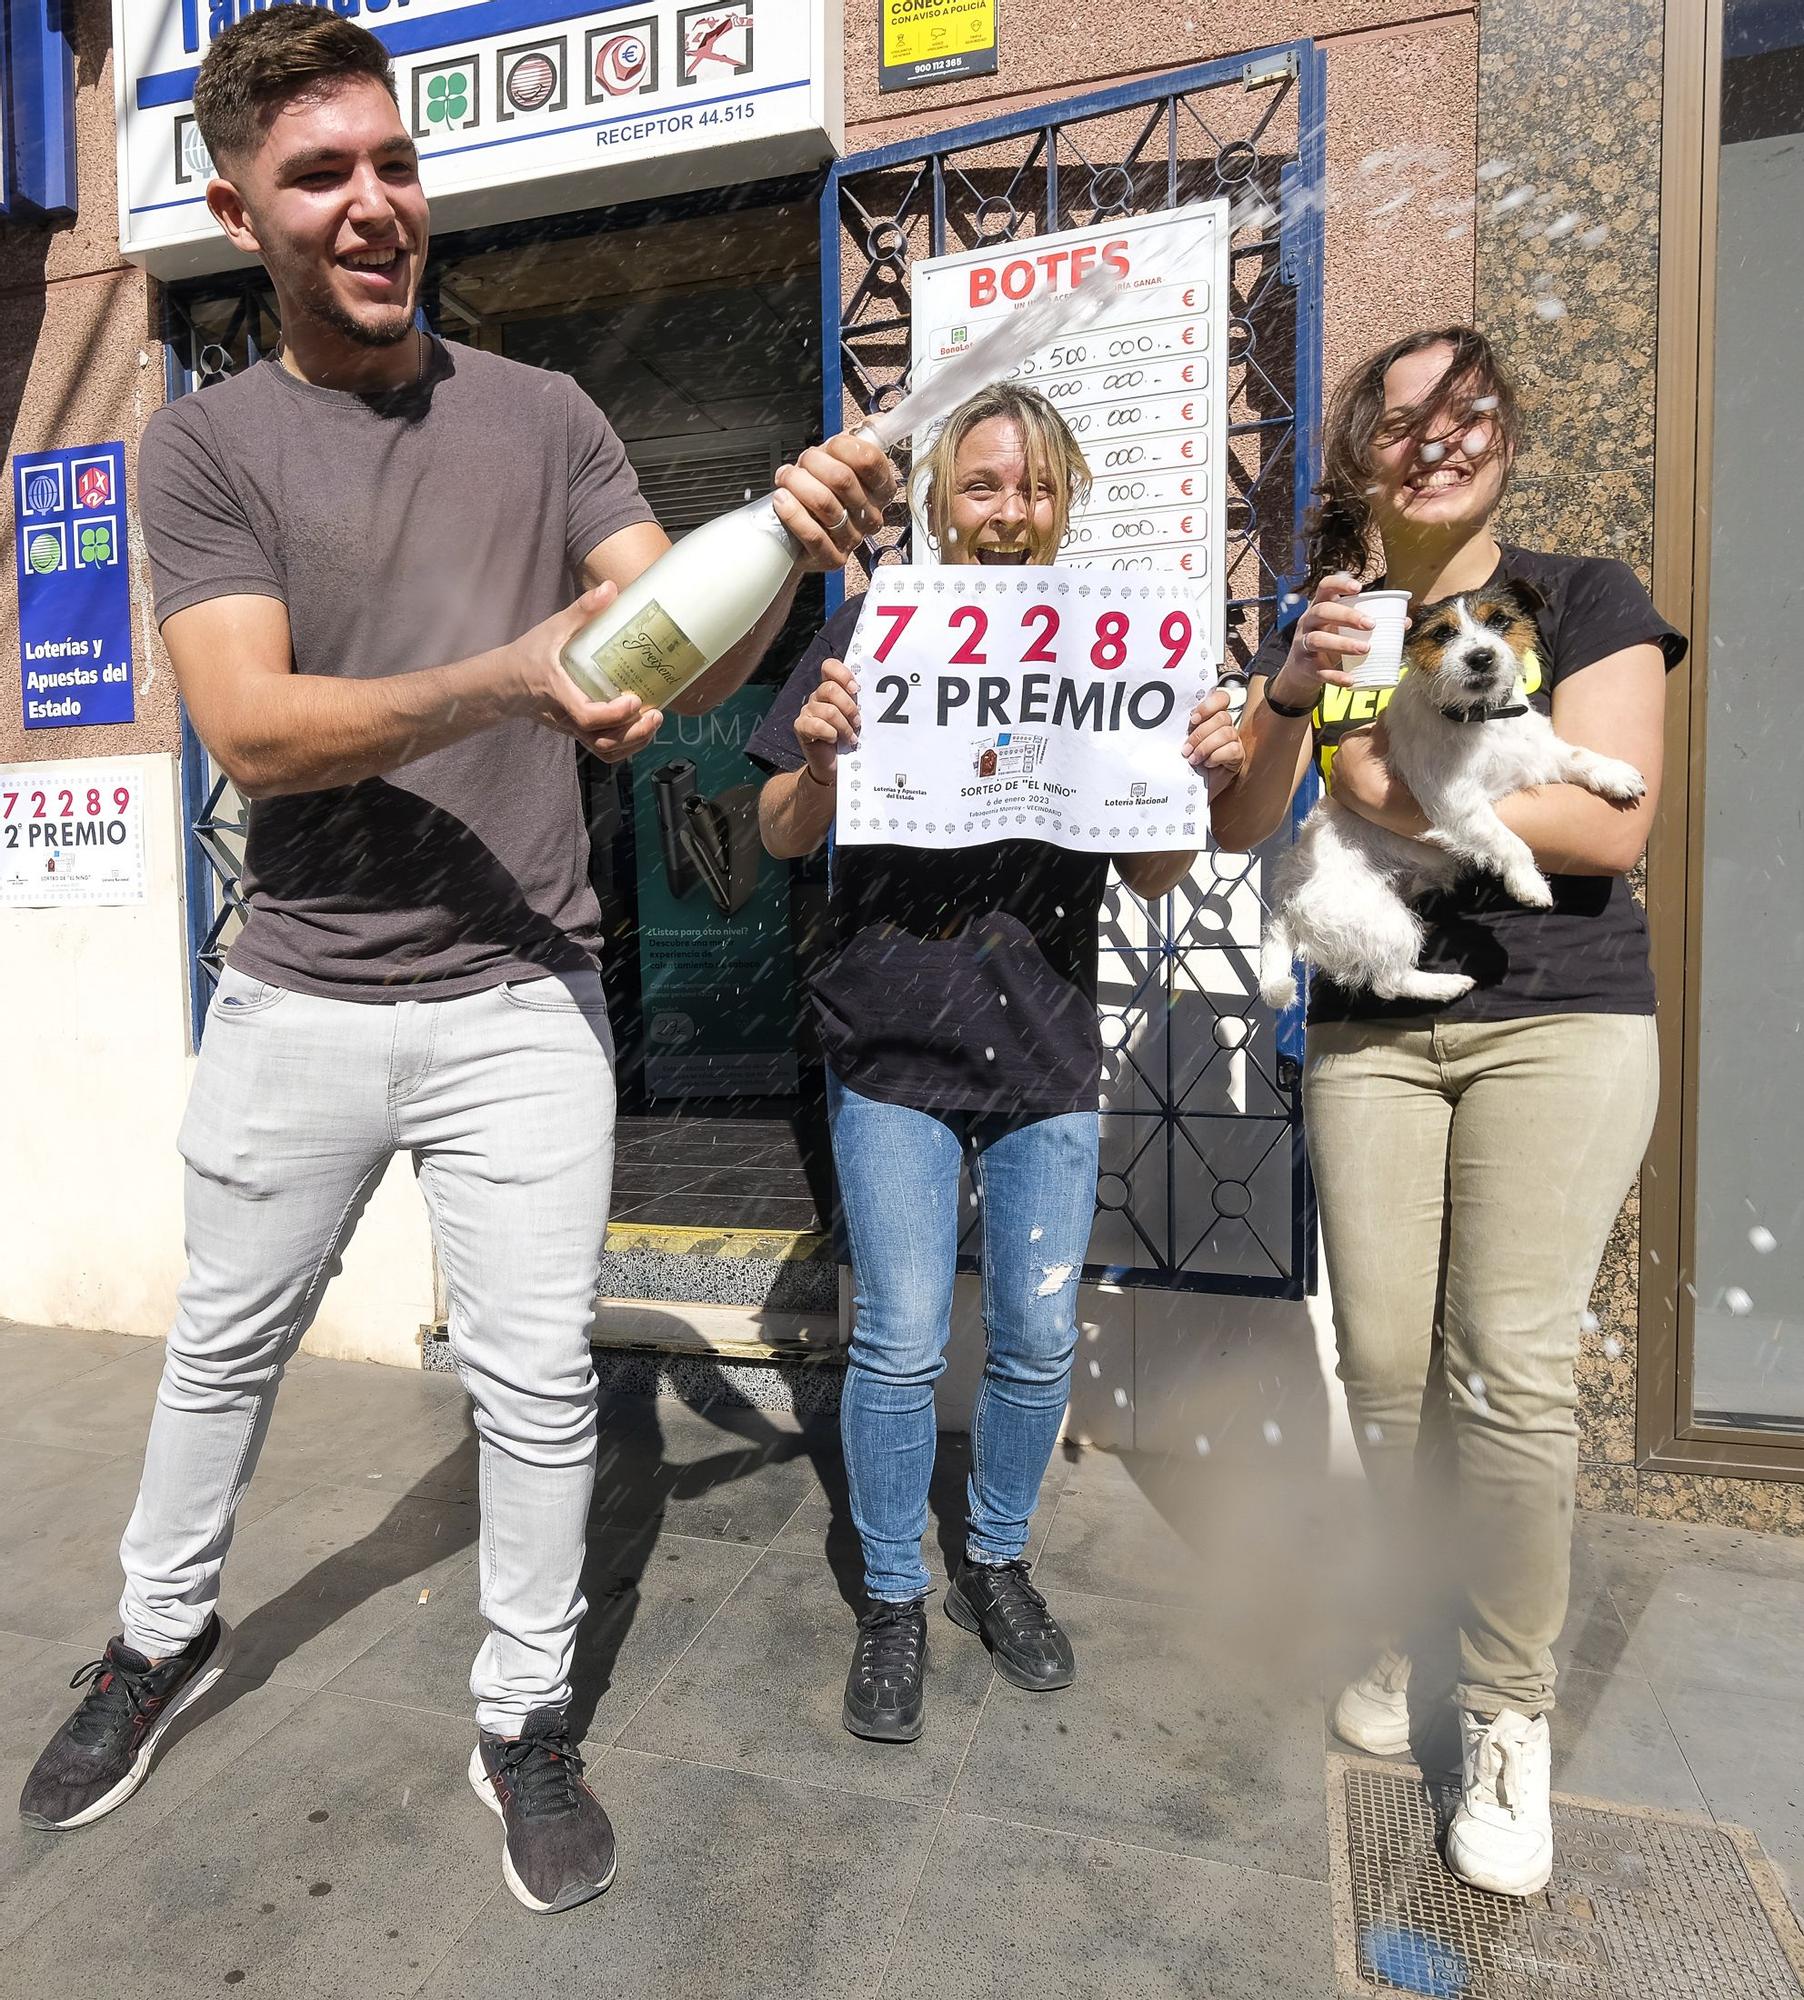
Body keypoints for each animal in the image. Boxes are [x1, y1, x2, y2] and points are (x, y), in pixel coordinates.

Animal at [1264, 584, 1648, 1008]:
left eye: (1500, 620)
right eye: (1443, 634)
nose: (1480, 657)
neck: (1483, 720)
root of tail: (1285, 900)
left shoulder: (1537, 754)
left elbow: (1579, 756)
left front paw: (1616, 774)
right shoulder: (1455, 803)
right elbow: (1510, 841)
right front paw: (1529, 883)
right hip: (1380, 919)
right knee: (1388, 981)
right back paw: (1447, 985)